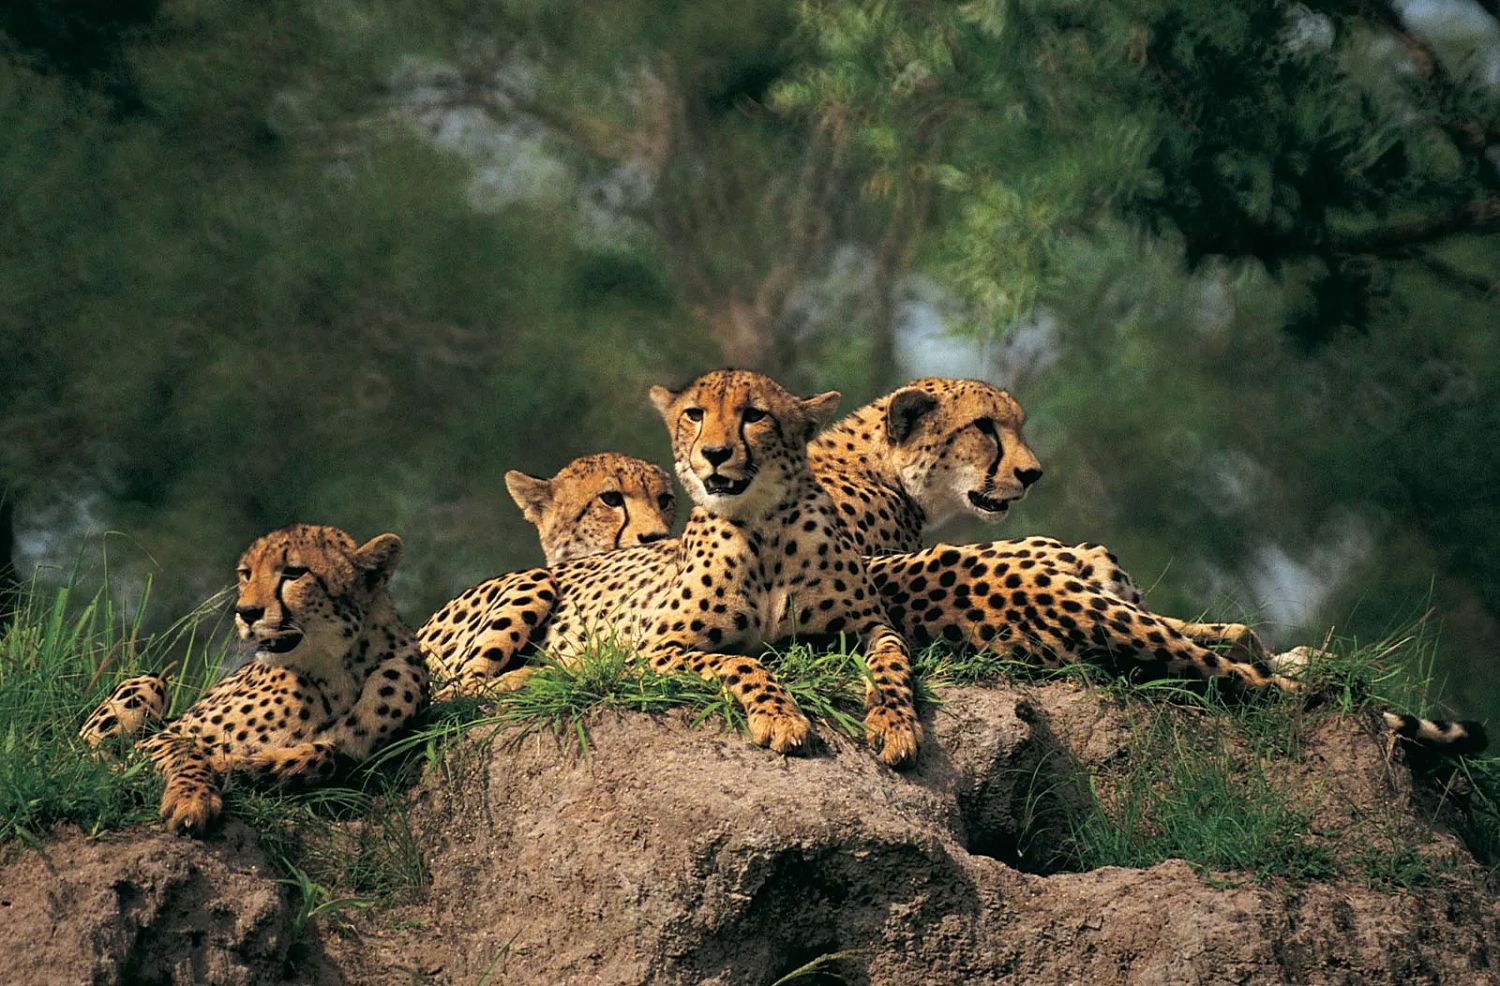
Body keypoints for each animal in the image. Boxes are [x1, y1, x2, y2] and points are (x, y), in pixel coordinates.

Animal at [80, 524, 429, 833]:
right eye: (245, 574)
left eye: (294, 573)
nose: (245, 612)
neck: (336, 671)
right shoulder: (164, 734)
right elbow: (187, 752)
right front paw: (191, 799)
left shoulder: (354, 753)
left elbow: (325, 753)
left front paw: (235, 765)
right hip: (148, 683)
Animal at [418, 369, 923, 766]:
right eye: (695, 414)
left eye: (755, 415)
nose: (715, 453)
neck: (763, 524)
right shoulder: (654, 649)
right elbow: (740, 661)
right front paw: (780, 717)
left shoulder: (874, 627)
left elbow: (892, 666)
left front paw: (895, 724)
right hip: (532, 584)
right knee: (455, 691)